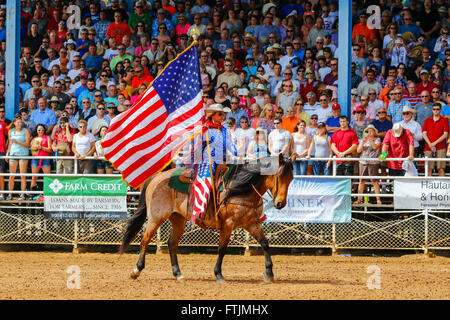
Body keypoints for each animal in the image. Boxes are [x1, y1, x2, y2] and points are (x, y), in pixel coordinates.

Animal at [118, 154, 298, 282]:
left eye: (291, 178)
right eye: (278, 176)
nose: (280, 203)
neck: (241, 189)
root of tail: (156, 178)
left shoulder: (252, 223)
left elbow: (265, 244)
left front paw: (269, 273)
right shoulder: (228, 225)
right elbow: (222, 249)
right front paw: (218, 274)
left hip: (178, 219)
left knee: (172, 243)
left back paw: (178, 274)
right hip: (156, 217)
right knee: (145, 239)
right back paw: (136, 270)